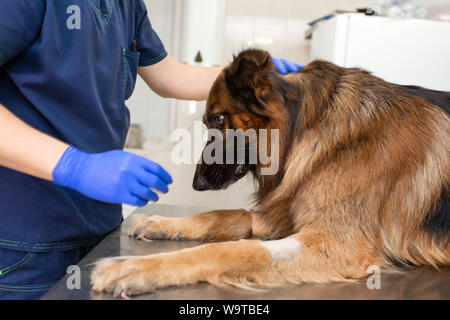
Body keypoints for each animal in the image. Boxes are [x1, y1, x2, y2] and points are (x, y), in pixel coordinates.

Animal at [91, 49, 450, 298]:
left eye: (219, 119)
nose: (197, 183)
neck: (309, 125)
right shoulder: (283, 215)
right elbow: (223, 214)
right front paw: (165, 223)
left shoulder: (336, 246)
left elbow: (231, 250)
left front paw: (136, 267)